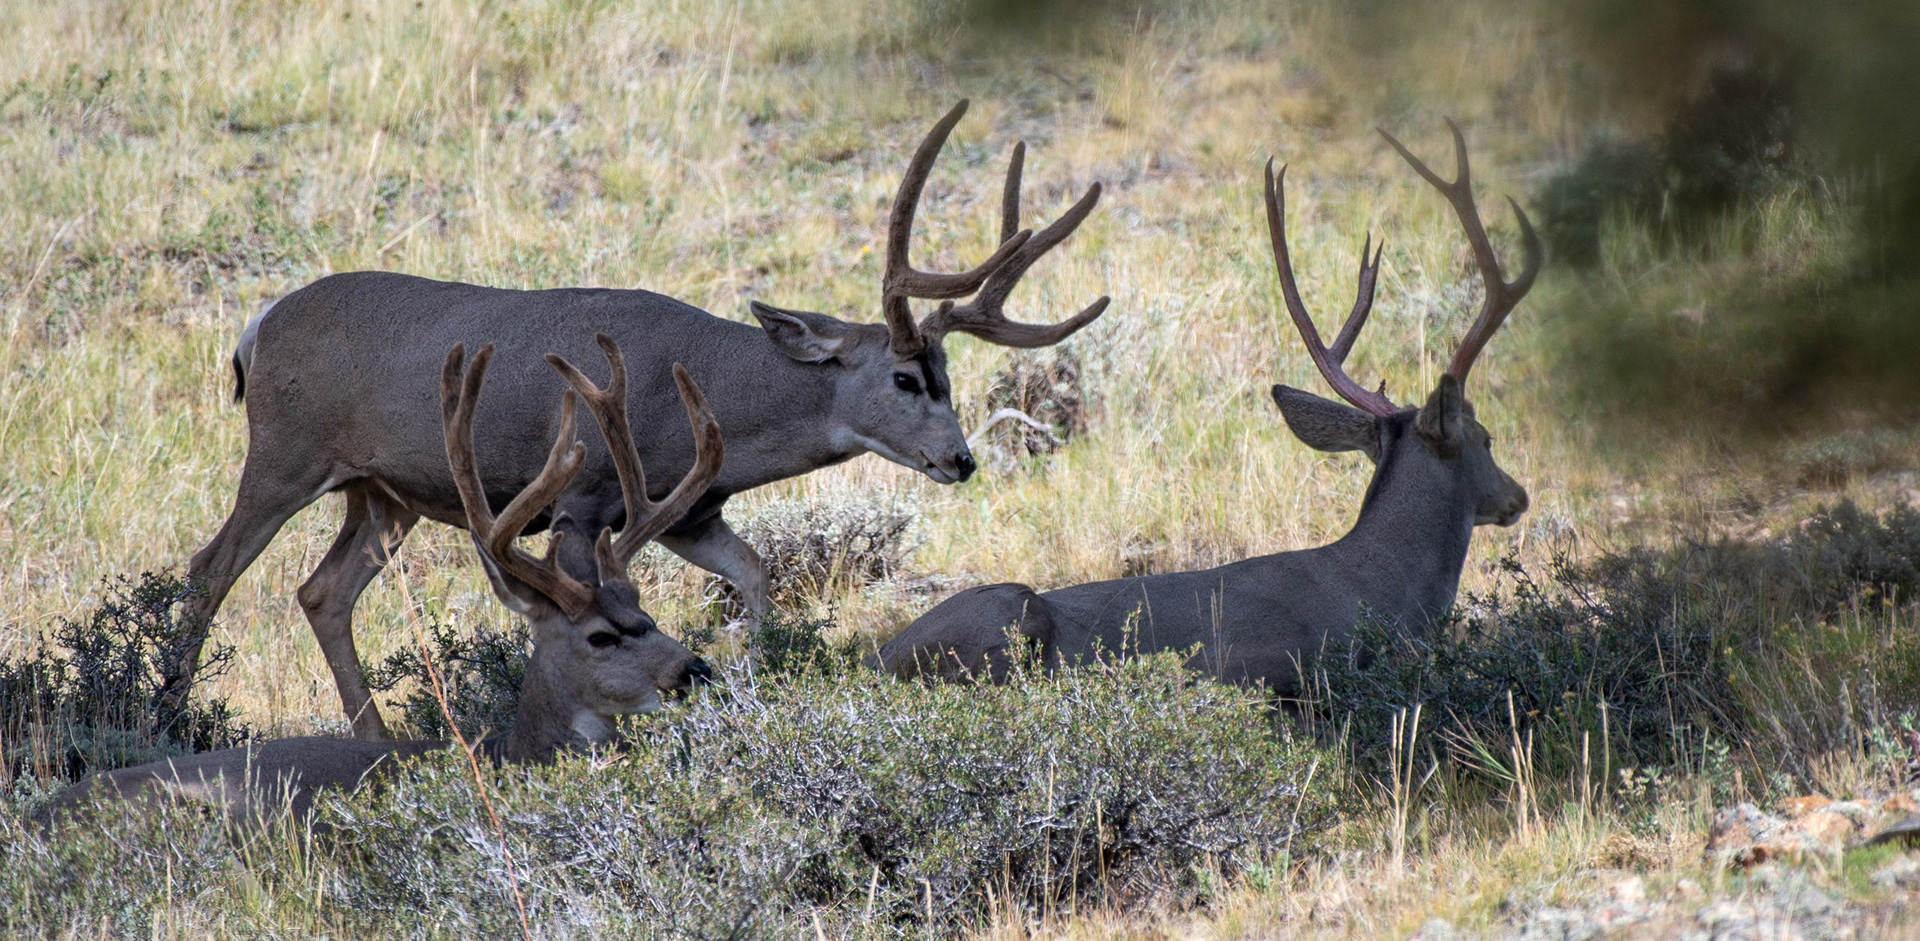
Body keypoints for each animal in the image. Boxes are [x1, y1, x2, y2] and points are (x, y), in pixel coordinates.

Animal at [167, 100, 1109, 740]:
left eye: (951, 376)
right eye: (908, 377)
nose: (961, 460)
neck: (708, 392)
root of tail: (256, 327)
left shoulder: (691, 511)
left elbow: (757, 575)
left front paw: (746, 671)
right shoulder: (583, 497)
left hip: (383, 492)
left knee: (321, 590)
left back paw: (378, 737)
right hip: (286, 452)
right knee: (207, 570)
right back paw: (167, 716)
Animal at [876, 122, 1540, 690]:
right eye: (1486, 438)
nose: (1518, 495)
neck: (1379, 592)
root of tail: (879, 658)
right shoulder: (1257, 662)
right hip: (1011, 615)